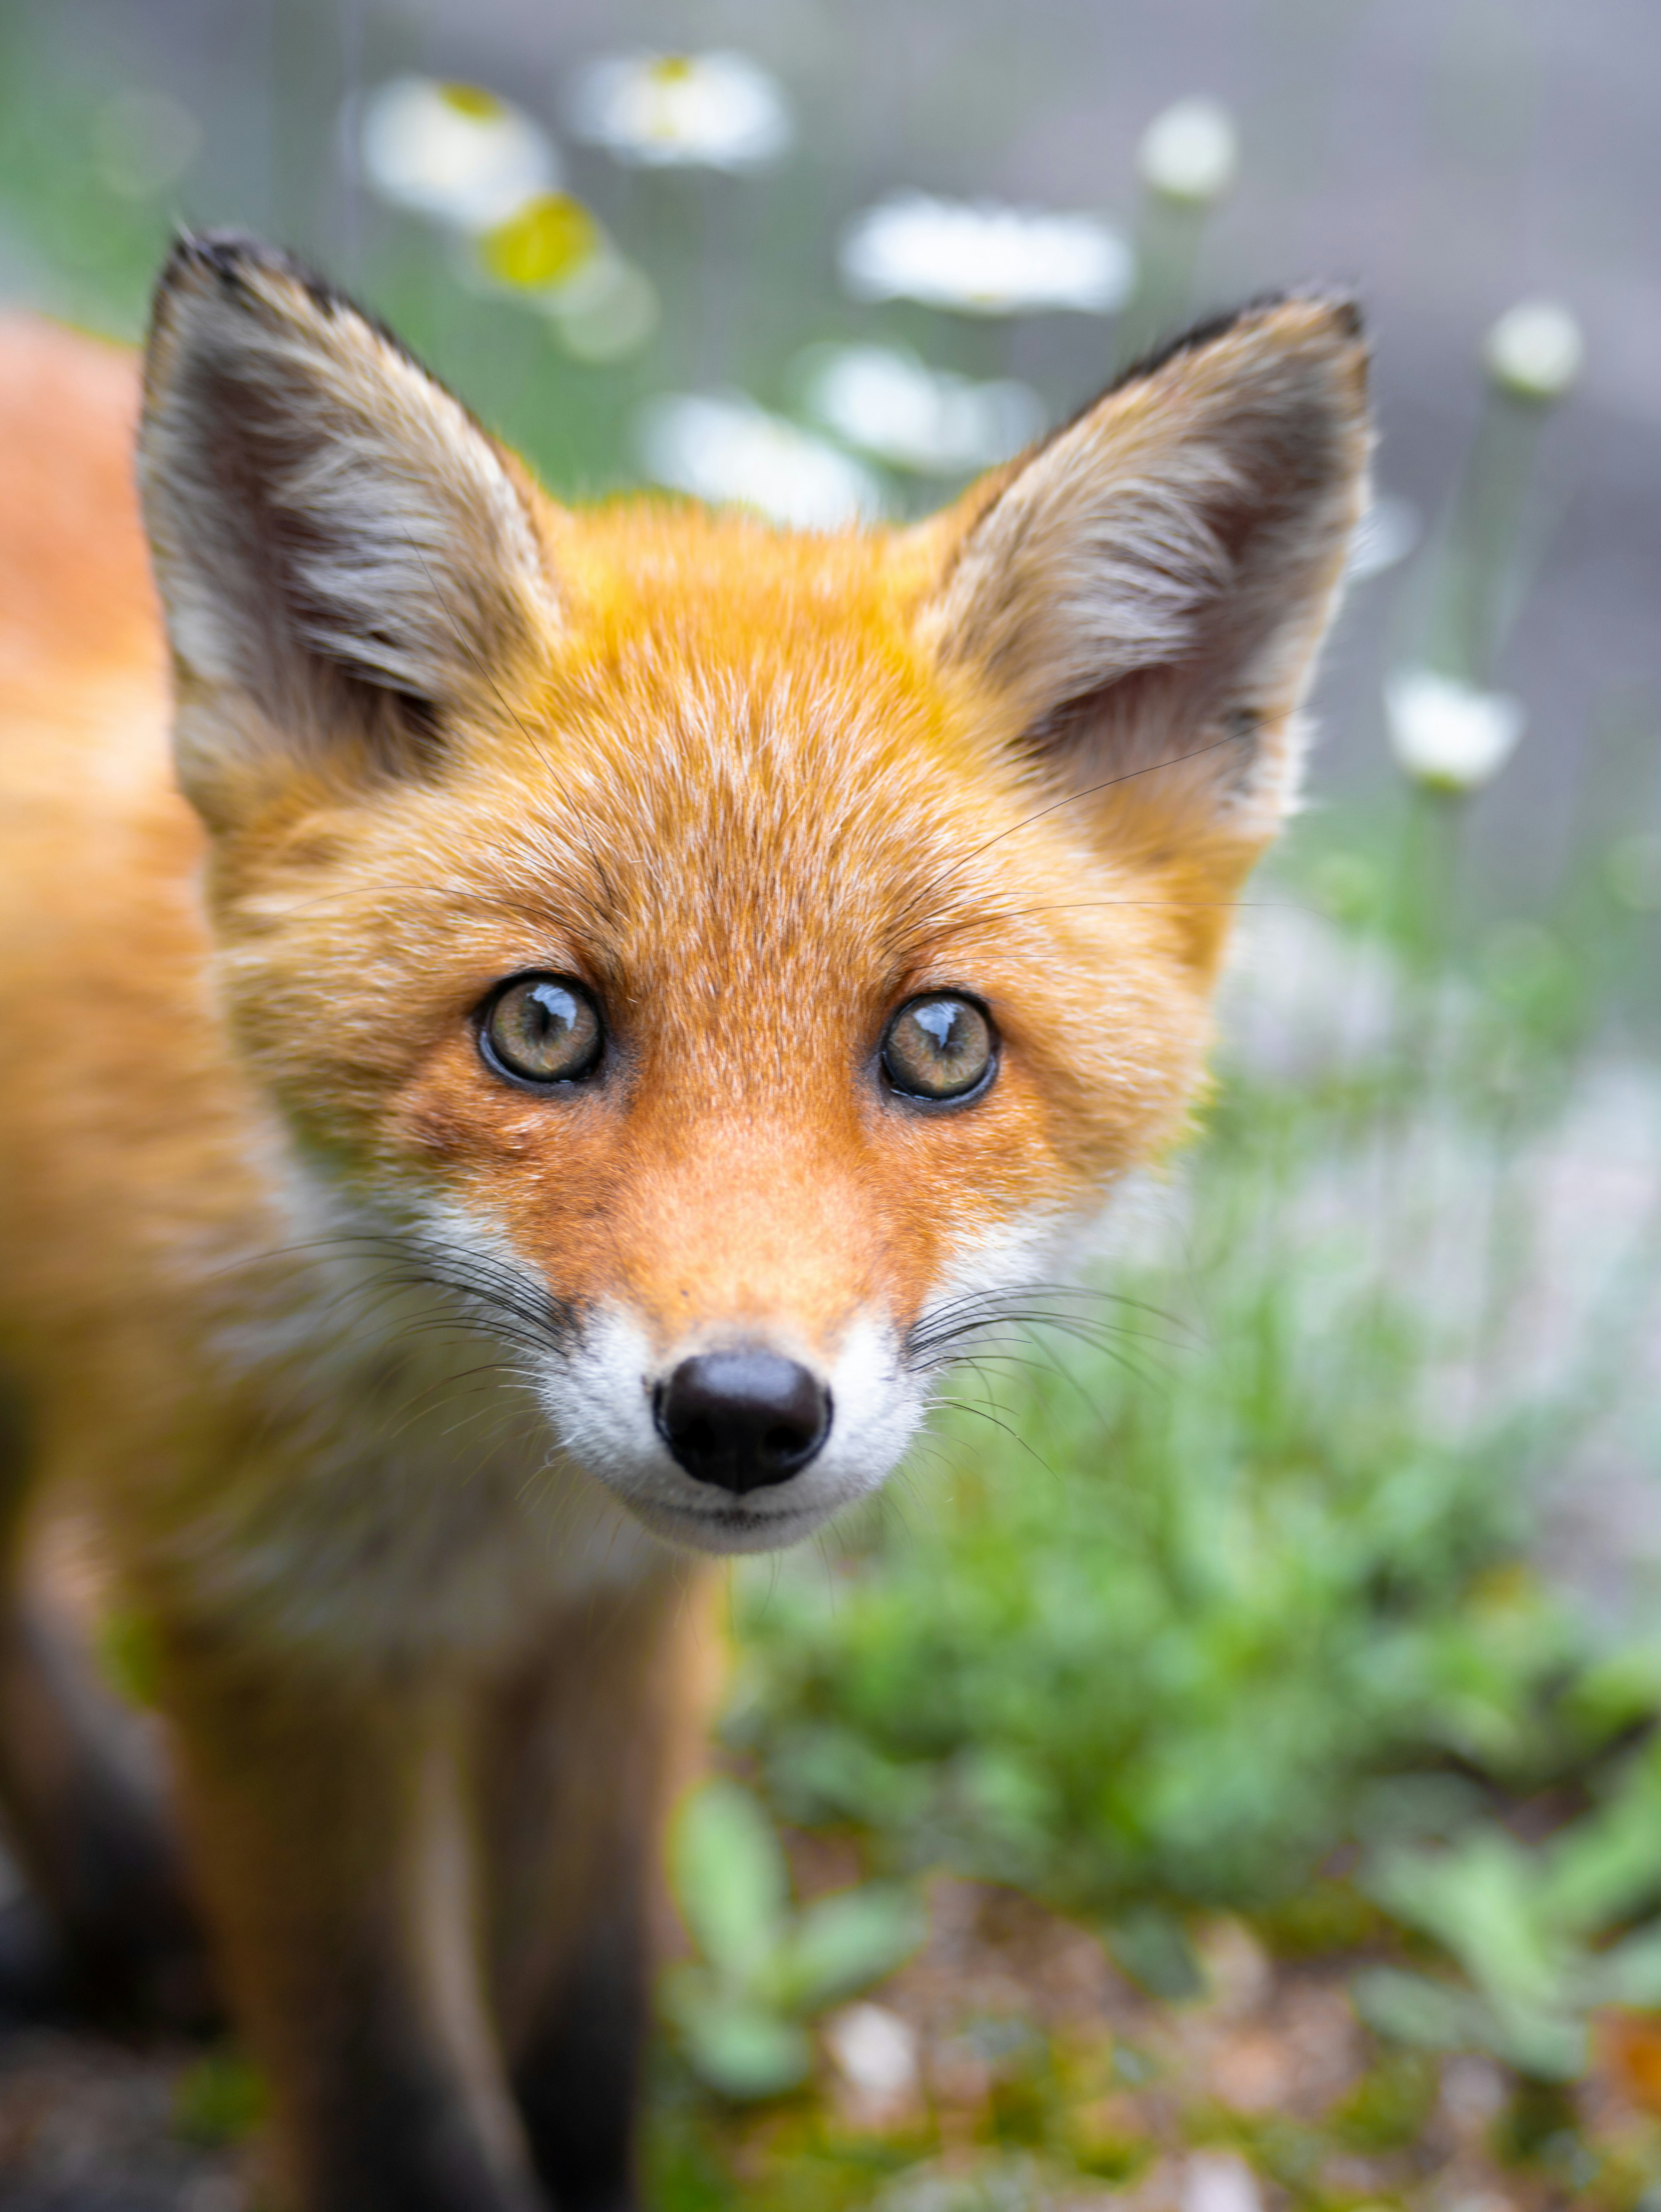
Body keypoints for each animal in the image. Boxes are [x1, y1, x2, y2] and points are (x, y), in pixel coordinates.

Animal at [0, 242, 1371, 2212]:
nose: (741, 1414)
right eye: (541, 1025)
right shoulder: (280, 1636)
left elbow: (580, 2027)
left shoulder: (617, 1637)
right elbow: (395, 2102)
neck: (486, 1511)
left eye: (941, 1043)